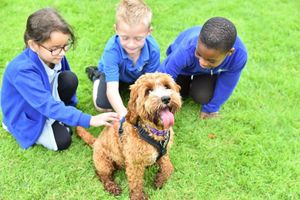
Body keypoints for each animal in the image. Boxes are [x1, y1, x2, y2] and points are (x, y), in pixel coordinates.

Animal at [76, 72, 182, 200]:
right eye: (148, 91)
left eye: (167, 86)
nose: (166, 98)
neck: (153, 131)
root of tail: (96, 141)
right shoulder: (134, 163)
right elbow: (136, 183)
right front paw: (139, 196)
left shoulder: (164, 154)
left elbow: (169, 167)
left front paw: (160, 180)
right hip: (103, 161)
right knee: (102, 174)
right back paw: (112, 187)